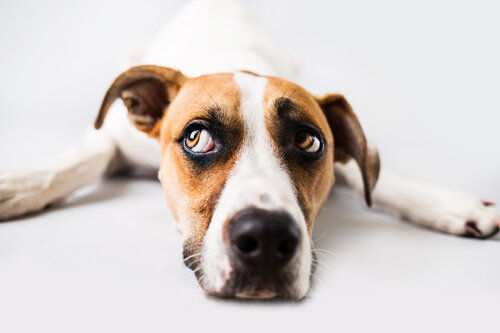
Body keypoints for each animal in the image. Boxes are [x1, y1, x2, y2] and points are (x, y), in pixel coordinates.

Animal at [0, 0, 500, 300]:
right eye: (196, 137)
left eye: (308, 140)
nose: (266, 239)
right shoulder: (114, 137)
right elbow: (79, 162)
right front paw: (18, 186)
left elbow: (372, 171)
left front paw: (451, 204)